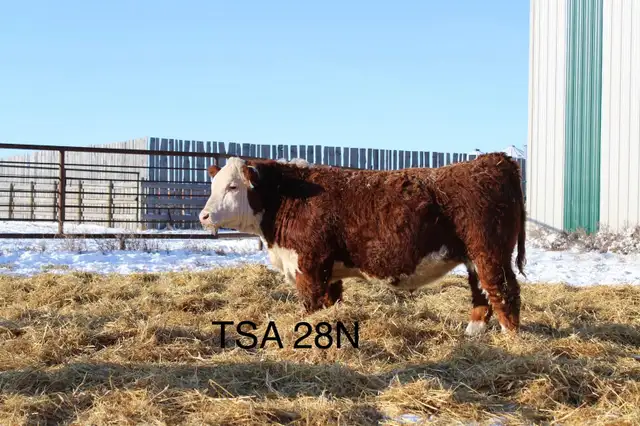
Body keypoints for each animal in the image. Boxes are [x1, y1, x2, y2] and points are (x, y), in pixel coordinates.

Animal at [199, 153, 526, 335]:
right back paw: (473, 333)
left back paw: (512, 340)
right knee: (481, 292)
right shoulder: (329, 270)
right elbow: (330, 303)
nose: (203, 216)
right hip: (474, 257)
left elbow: (310, 305)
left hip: (490, 253)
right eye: (213, 185)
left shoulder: (310, 266)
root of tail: (493, 160)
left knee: (504, 292)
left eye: (232, 186)